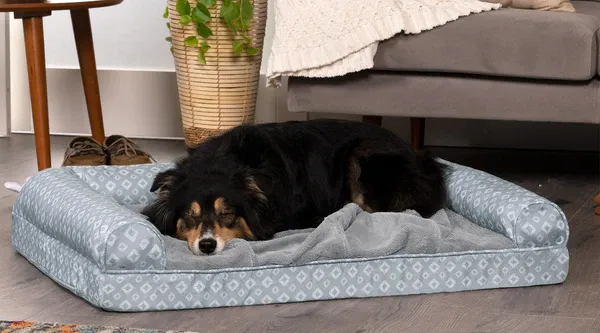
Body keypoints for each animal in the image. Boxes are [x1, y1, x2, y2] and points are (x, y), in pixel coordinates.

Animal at [143, 118, 448, 254]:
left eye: (227, 214)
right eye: (189, 216)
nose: (207, 245)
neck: (222, 162)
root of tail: (422, 158)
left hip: (362, 156)